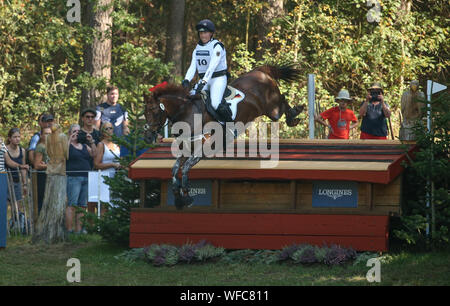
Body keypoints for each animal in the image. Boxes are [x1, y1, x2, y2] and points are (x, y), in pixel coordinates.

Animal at [143, 63, 306, 209]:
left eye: (154, 111)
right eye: (145, 113)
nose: (148, 137)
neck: (187, 113)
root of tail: (260, 70)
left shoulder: (206, 147)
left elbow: (185, 168)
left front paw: (187, 197)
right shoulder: (186, 149)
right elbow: (175, 169)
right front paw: (178, 198)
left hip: (272, 109)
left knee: (282, 100)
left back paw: (295, 113)